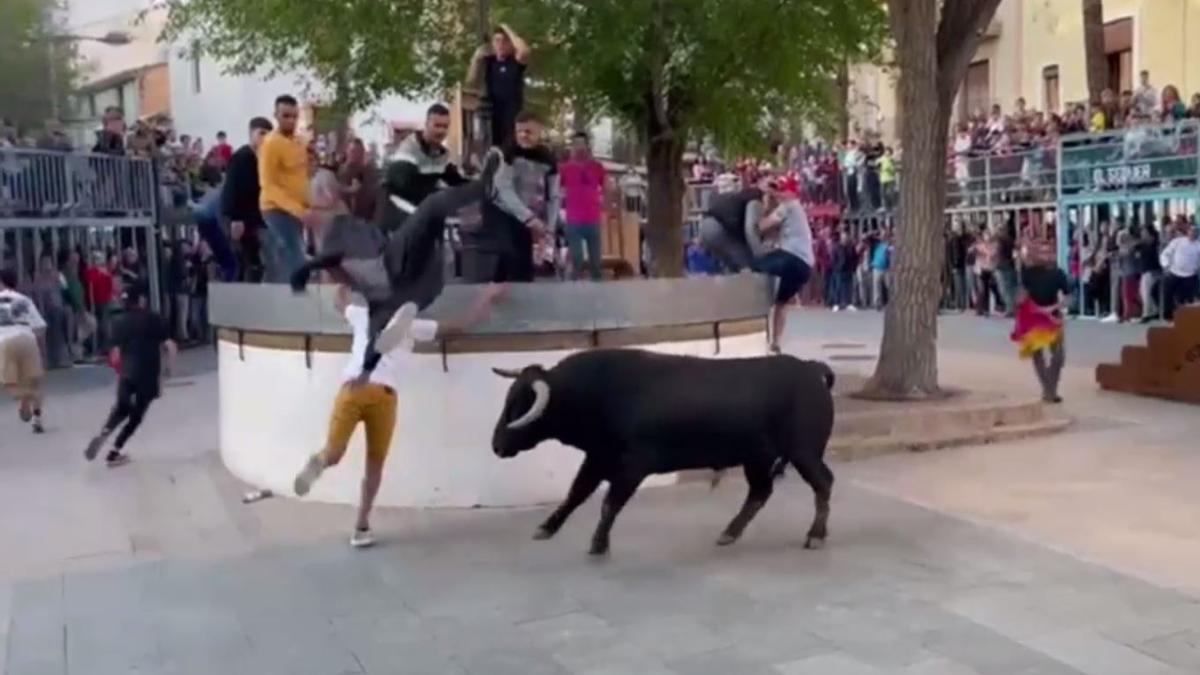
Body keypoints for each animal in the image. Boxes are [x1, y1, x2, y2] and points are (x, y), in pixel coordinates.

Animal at [487, 345, 835, 552]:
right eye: (508, 399)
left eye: (521, 404)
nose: (496, 445)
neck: (600, 391)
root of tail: (810, 368)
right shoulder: (598, 457)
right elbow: (576, 494)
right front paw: (546, 528)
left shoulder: (633, 466)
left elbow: (609, 503)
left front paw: (599, 543)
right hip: (758, 459)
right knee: (760, 492)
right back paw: (729, 532)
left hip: (804, 453)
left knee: (823, 483)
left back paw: (815, 535)